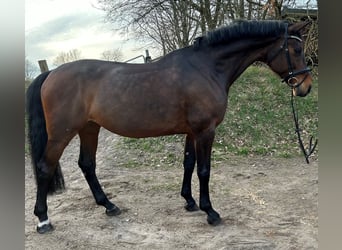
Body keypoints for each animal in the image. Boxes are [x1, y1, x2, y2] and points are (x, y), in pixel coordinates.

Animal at [26, 20, 312, 233]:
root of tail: (51, 73)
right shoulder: (206, 131)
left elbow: (188, 163)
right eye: (296, 50)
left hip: (89, 128)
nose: (305, 87)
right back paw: (43, 220)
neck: (206, 68)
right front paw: (210, 211)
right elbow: (204, 170)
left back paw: (109, 206)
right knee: (45, 167)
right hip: (61, 134)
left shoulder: (191, 132)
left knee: (87, 164)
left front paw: (189, 201)